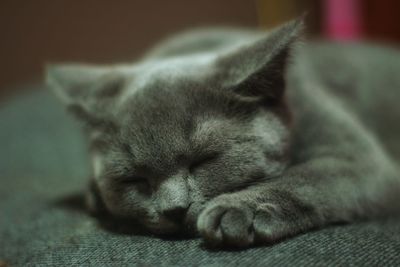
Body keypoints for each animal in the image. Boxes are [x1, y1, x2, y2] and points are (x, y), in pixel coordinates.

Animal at [47, 18, 400, 249]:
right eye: (135, 179)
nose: (174, 209)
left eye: (204, 161)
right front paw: (94, 194)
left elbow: (306, 178)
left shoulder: (359, 159)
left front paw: (238, 210)